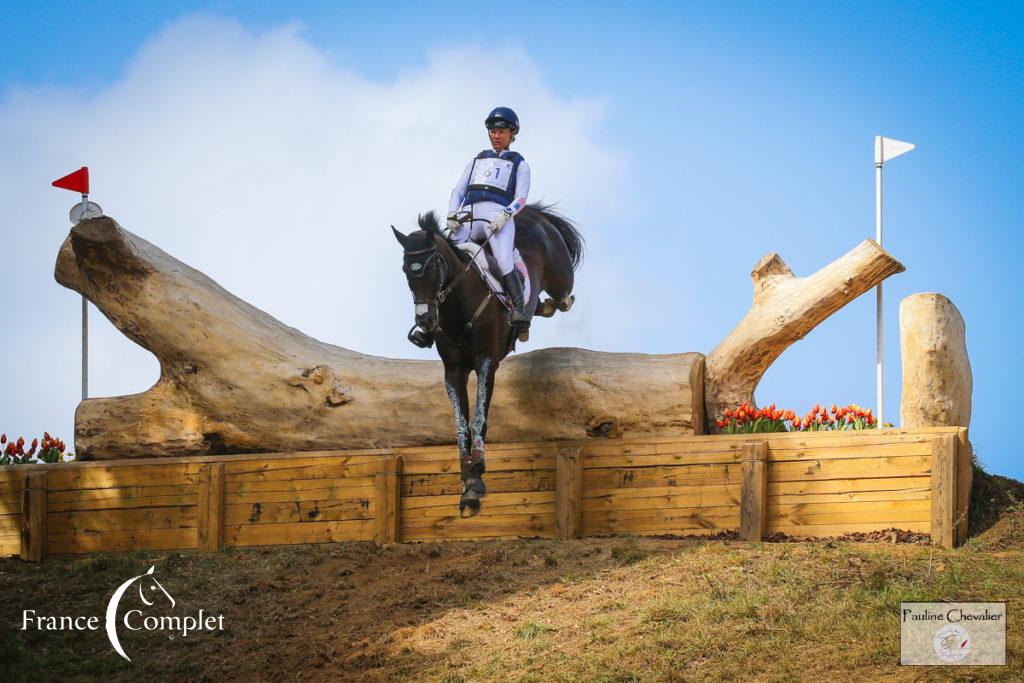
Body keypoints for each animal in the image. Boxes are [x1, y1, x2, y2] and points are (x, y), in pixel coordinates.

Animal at [391, 205, 585, 516]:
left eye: (431, 268)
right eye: (407, 271)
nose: (425, 321)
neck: (459, 306)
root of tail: (533, 215)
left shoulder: (485, 364)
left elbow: (479, 418)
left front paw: (477, 475)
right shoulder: (454, 372)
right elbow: (461, 425)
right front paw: (467, 483)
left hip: (560, 276)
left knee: (563, 296)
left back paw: (543, 308)